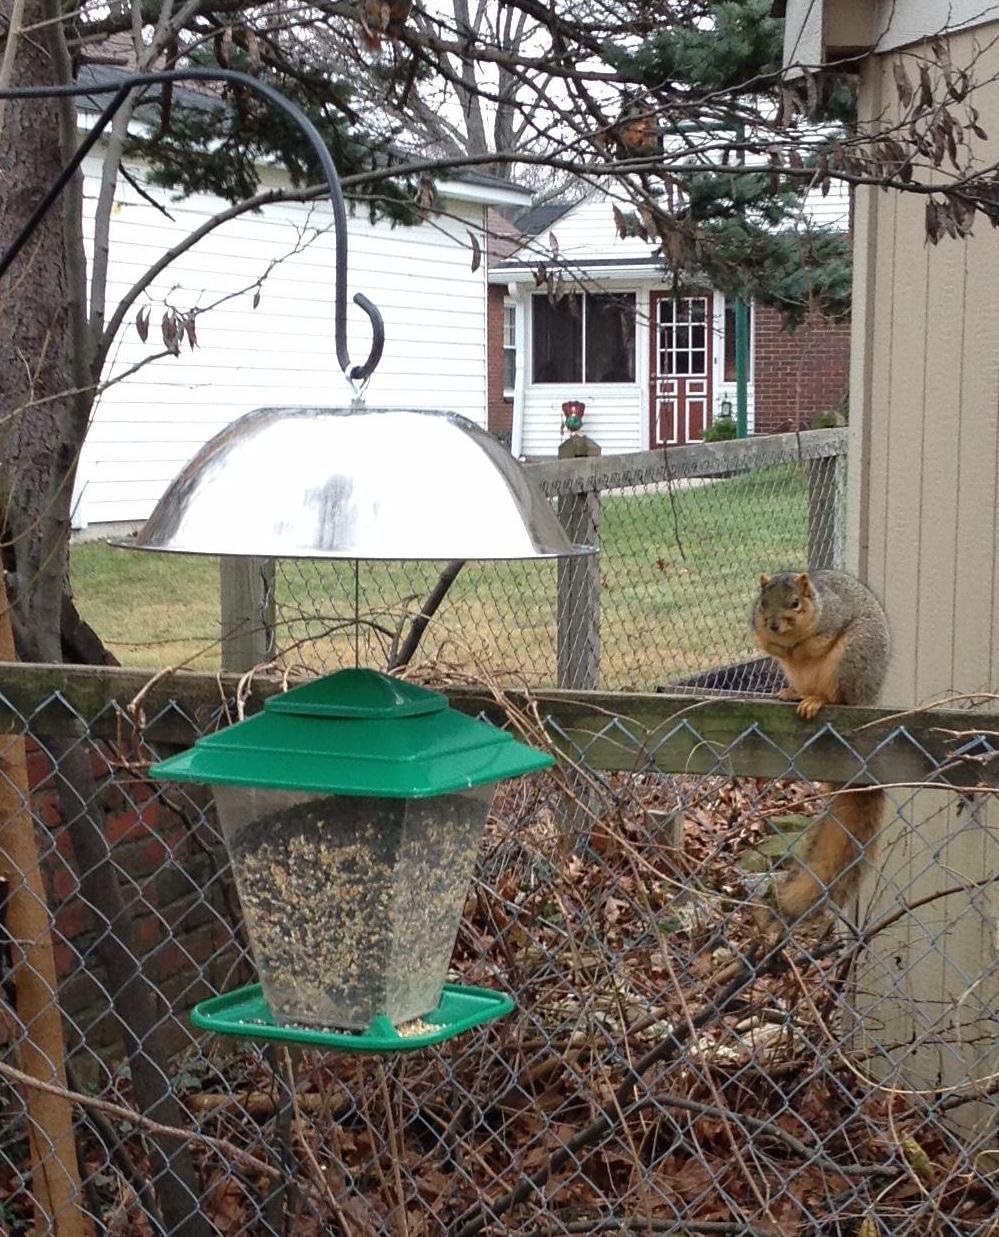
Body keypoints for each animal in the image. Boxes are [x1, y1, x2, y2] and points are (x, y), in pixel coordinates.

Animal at [751, 569, 890, 925]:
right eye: (762, 603)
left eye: (795, 603)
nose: (774, 625)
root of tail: (869, 700)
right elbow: (766, 645)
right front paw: (775, 646)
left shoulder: (832, 619)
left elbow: (815, 643)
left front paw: (799, 649)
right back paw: (792, 693)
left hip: (851, 659)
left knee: (836, 697)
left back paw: (816, 700)